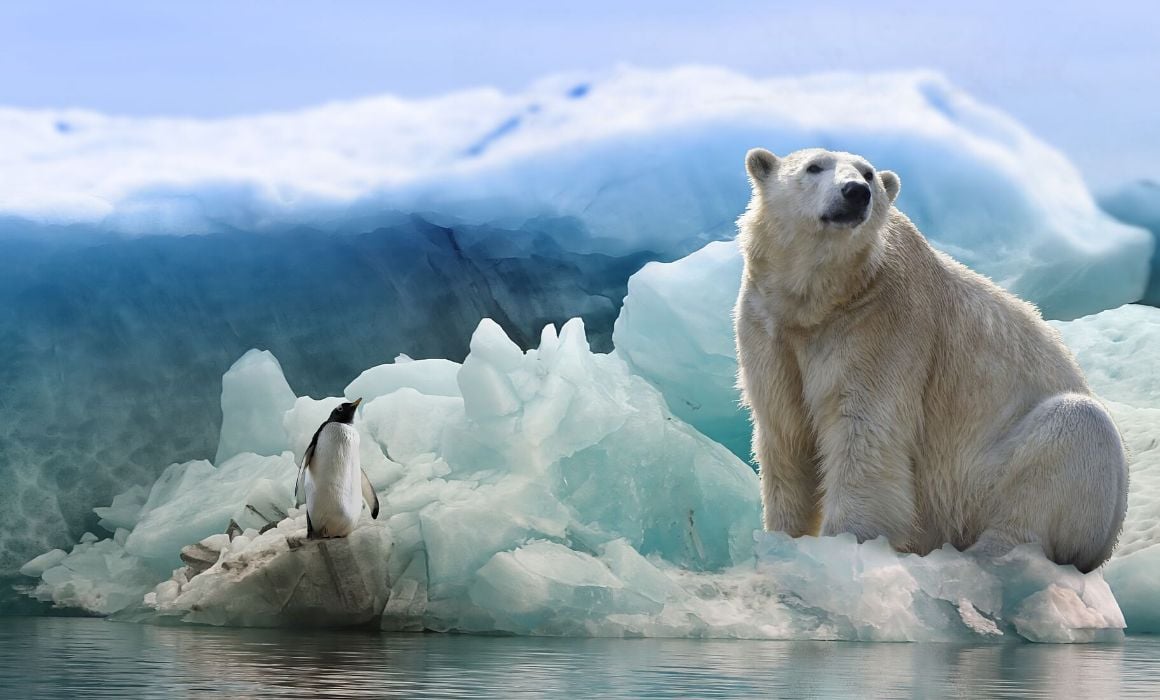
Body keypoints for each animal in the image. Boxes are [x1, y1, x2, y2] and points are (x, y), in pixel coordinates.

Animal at [737, 145, 1127, 573]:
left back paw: (988, 555)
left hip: (991, 478)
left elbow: (864, 436)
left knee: (1073, 433)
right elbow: (785, 433)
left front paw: (844, 545)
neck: (823, 300)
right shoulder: (769, 329)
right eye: (813, 167)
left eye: (868, 173)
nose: (856, 192)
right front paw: (782, 539)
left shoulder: (881, 325)